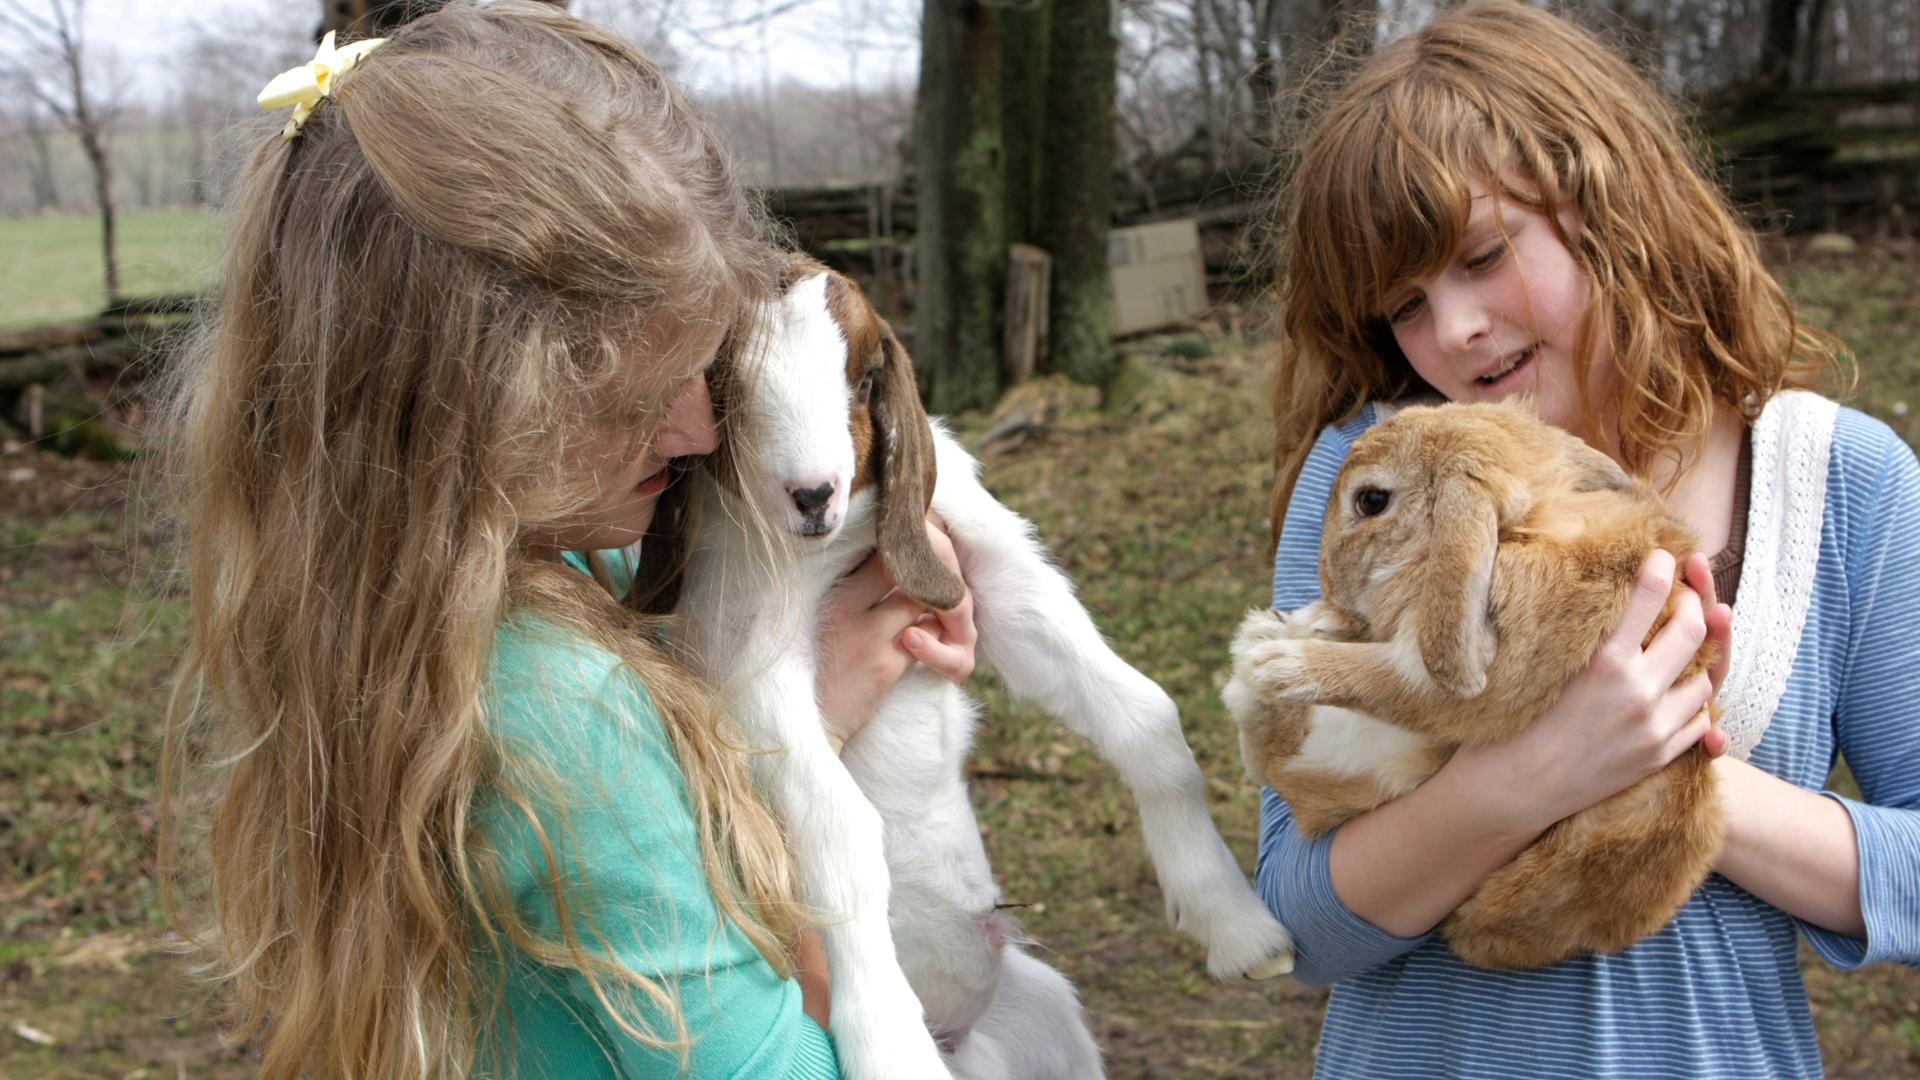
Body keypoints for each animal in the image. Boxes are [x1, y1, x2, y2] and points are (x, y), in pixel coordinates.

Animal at [1221, 401, 1735, 968]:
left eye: (1371, 501)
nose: (1329, 584)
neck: (1530, 528)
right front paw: (1308, 626)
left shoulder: (1475, 680)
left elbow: (1381, 681)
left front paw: (1282, 665)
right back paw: (1267, 639)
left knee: (1280, 761)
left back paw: (1261, 659)